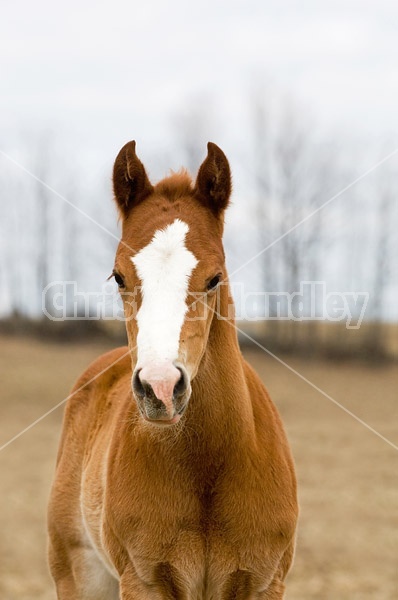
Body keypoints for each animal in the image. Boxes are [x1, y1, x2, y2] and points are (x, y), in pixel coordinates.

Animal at [46, 142, 296, 600]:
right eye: (118, 277)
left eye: (214, 277)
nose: (160, 387)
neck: (208, 468)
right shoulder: (145, 582)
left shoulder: (264, 582)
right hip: (79, 575)